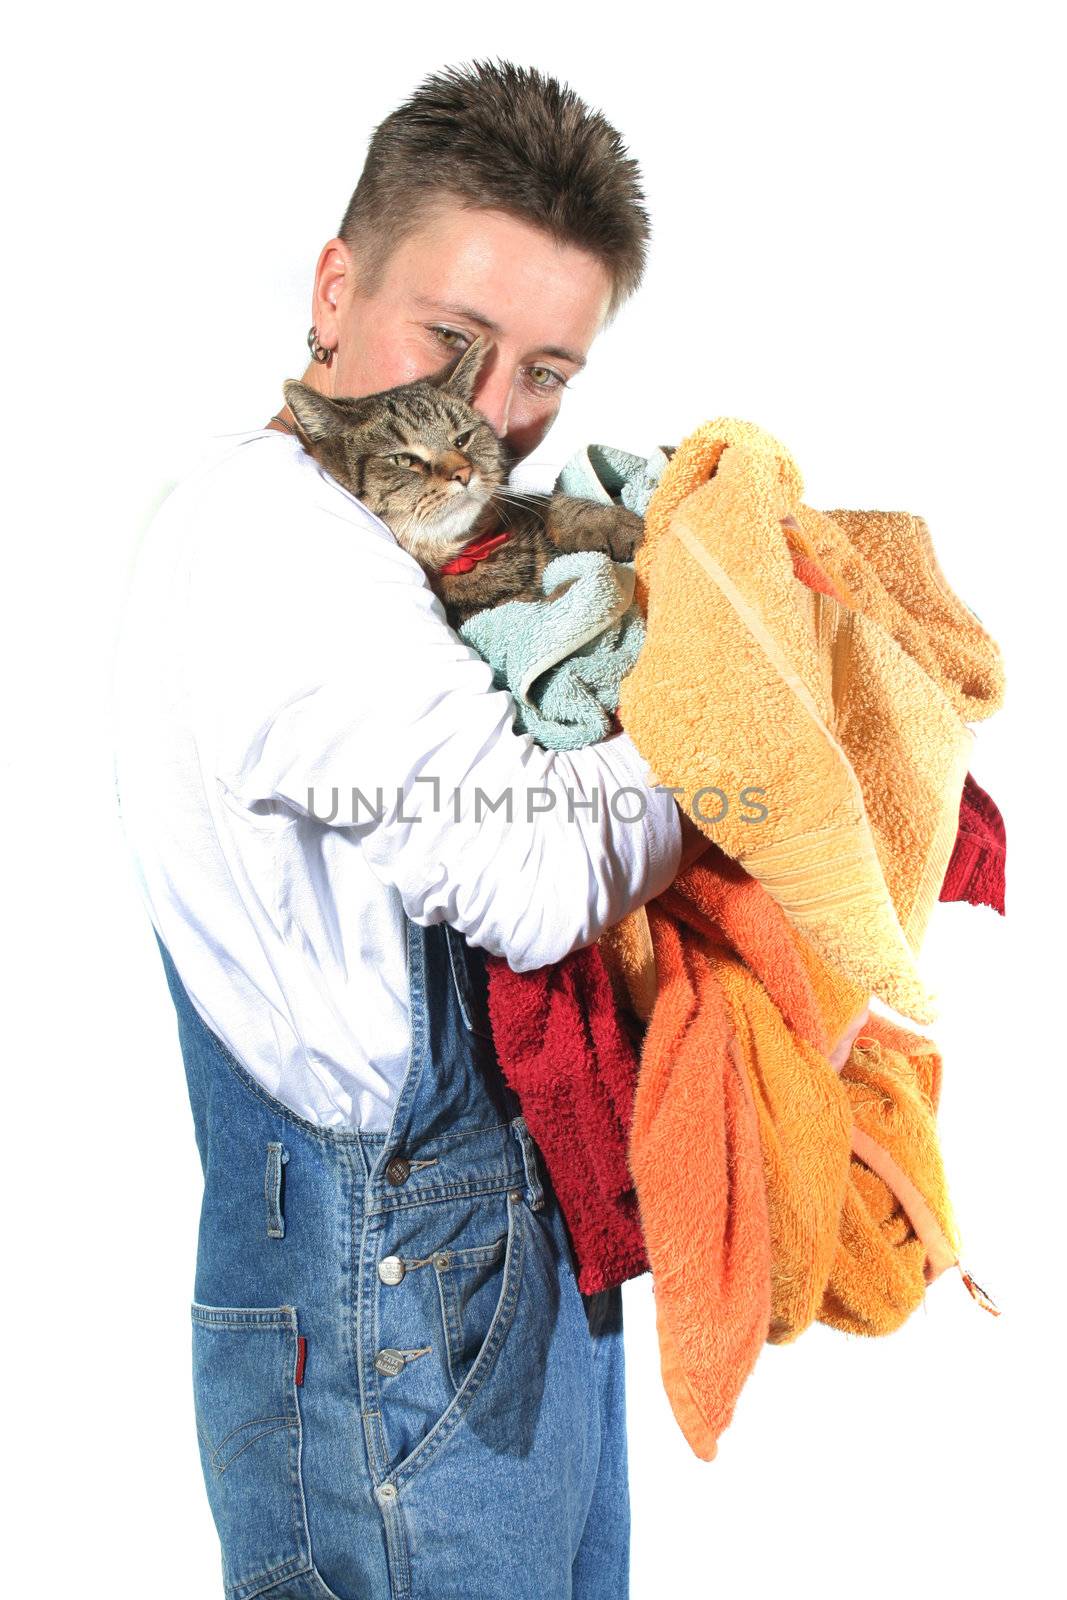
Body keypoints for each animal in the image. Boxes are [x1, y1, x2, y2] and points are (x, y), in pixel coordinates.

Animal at [281, 334, 643, 627]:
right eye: (403, 460)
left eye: (462, 439)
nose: (463, 473)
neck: (468, 556)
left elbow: (553, 504)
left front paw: (615, 524)